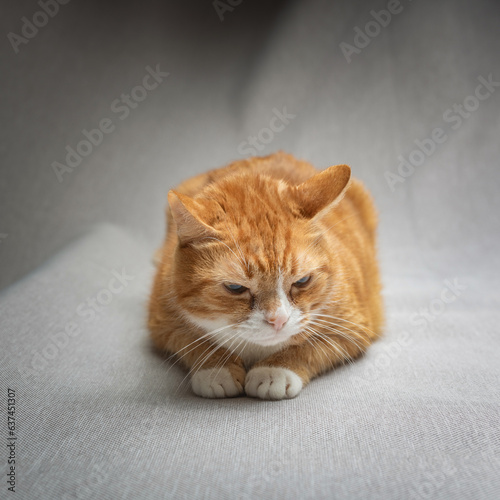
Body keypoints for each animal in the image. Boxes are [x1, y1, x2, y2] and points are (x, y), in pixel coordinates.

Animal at [148, 150, 382, 400]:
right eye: (235, 288)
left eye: (302, 281)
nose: (278, 320)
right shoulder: (162, 323)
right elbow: (193, 342)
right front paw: (217, 368)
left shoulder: (353, 327)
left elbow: (307, 347)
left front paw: (275, 370)